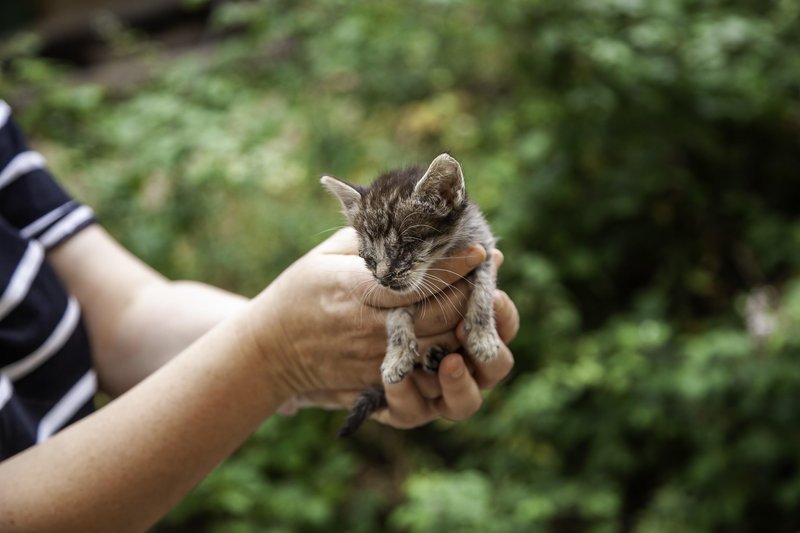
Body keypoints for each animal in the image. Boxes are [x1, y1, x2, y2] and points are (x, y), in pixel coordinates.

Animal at [320, 154, 496, 436]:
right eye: (368, 257)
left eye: (404, 247)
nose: (382, 278)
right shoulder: (393, 294)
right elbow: (395, 315)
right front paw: (397, 354)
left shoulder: (484, 248)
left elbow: (483, 291)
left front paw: (483, 336)